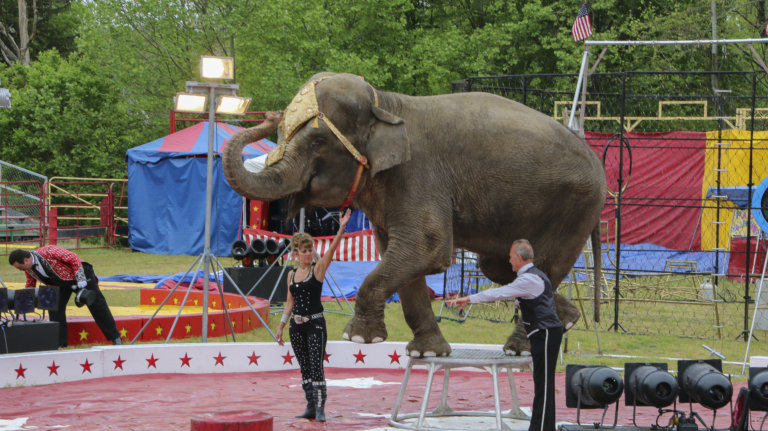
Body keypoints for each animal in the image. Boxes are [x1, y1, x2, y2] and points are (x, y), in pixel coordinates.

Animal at [222, 72, 608, 360]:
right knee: (499, 268)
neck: (386, 103)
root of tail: (597, 161)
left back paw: (520, 349)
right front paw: (426, 353)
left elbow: (426, 249)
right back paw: (567, 321)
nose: (268, 116)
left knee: (542, 268)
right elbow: (398, 255)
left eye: (318, 142)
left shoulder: (419, 175)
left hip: (575, 208)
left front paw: (357, 339)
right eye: (282, 131)